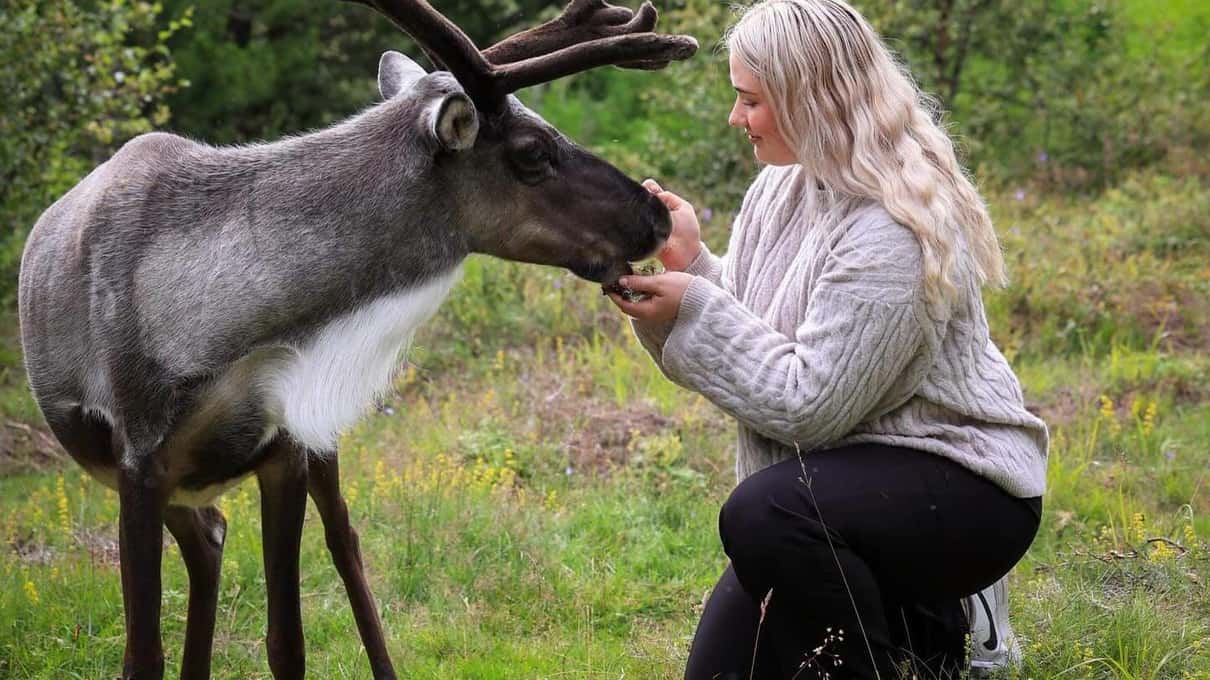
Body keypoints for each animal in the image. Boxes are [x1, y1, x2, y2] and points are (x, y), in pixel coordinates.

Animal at [16, 0, 697, 677]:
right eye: (532, 151)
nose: (657, 215)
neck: (216, 333)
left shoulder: (285, 446)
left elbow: (287, 642)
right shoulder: (140, 460)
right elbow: (143, 654)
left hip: (298, 449)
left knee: (334, 540)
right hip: (178, 482)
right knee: (210, 539)